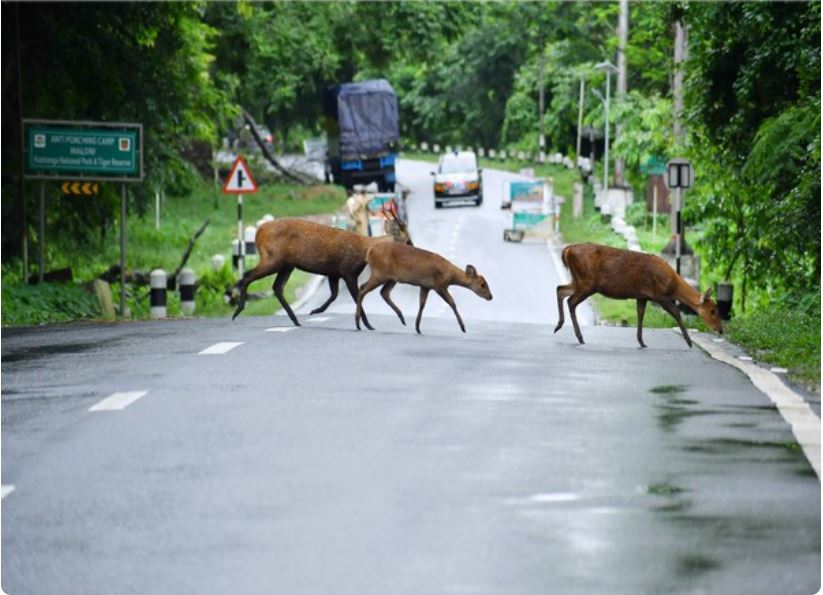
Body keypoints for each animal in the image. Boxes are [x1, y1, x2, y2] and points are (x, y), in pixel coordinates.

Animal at [232, 212, 412, 328]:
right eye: (407, 241)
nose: (413, 246)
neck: (365, 251)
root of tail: (258, 232)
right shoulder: (348, 271)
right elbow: (356, 297)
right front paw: (368, 325)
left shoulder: (334, 273)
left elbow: (334, 295)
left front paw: (315, 310)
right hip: (272, 258)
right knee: (247, 275)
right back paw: (237, 311)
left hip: (287, 264)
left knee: (276, 287)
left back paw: (295, 320)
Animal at [352, 242, 492, 336]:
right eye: (483, 284)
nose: (491, 296)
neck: (450, 275)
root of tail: (369, 252)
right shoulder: (439, 285)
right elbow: (452, 303)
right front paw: (463, 328)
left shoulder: (425, 286)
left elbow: (422, 304)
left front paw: (417, 327)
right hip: (380, 272)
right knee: (363, 288)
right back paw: (359, 323)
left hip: (391, 278)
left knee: (383, 292)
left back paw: (401, 318)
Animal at [556, 241, 724, 346]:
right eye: (712, 310)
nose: (721, 329)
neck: (673, 284)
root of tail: (567, 250)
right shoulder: (659, 294)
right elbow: (676, 312)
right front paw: (688, 342)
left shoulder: (642, 296)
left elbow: (640, 314)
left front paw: (641, 341)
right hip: (587, 283)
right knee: (570, 301)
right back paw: (579, 337)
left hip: (579, 281)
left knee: (560, 289)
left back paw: (559, 326)